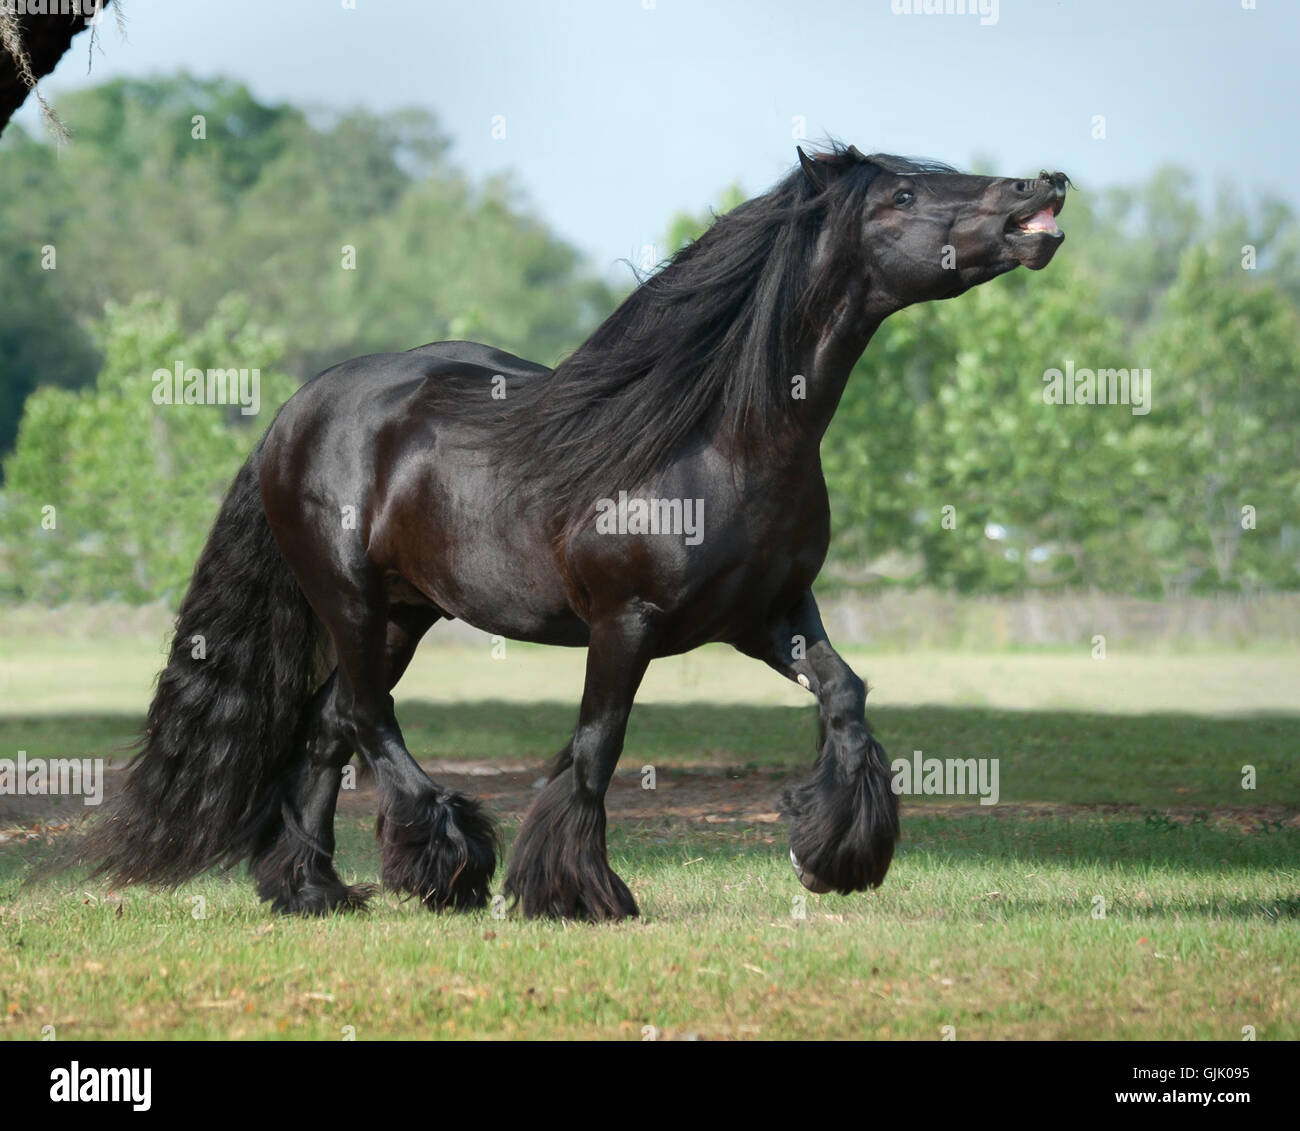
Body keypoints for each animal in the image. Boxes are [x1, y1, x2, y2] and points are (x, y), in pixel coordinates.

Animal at [78, 141, 1066, 920]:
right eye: (899, 196)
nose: (1041, 187)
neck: (723, 439)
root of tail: (297, 411)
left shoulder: (769, 614)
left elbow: (846, 696)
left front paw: (825, 856)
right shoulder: (624, 622)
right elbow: (597, 745)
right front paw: (575, 892)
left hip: (404, 610)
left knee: (330, 726)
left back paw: (314, 890)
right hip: (348, 599)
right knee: (362, 716)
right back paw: (448, 861)